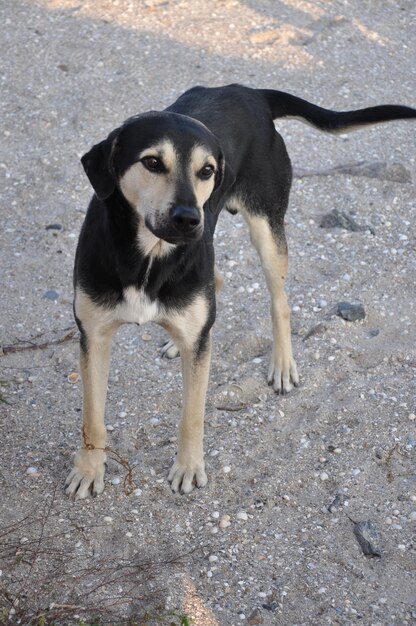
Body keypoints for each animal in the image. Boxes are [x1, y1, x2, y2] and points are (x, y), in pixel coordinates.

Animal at [66, 83, 416, 500]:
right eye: (151, 162)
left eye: (206, 170)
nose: (189, 219)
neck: (149, 256)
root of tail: (247, 91)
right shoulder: (93, 336)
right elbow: (92, 417)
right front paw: (88, 470)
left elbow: (192, 415)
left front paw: (188, 467)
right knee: (212, 290)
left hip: (266, 228)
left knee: (279, 303)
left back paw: (282, 364)